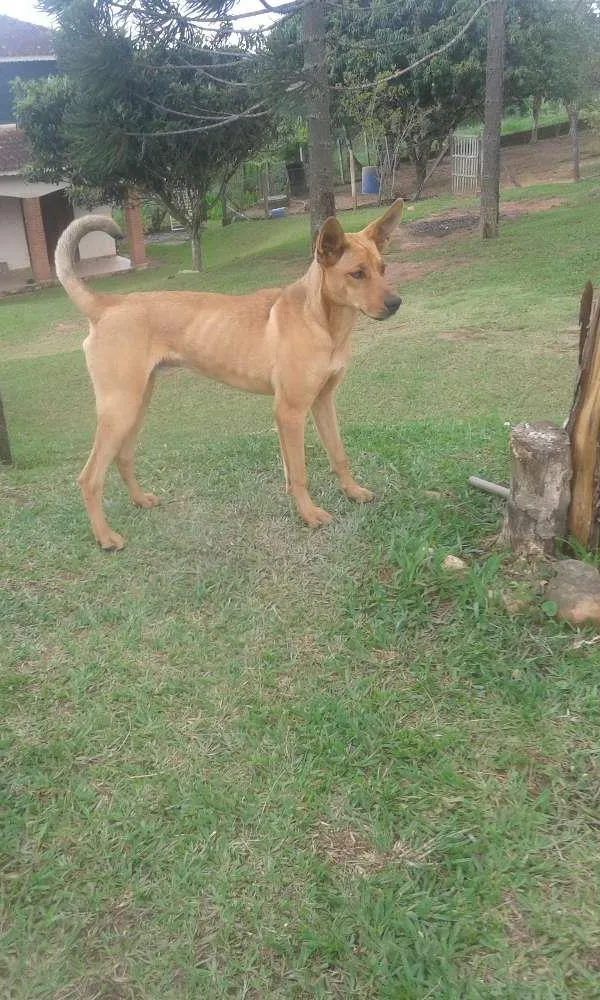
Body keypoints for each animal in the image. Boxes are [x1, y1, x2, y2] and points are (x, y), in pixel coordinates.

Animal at [55, 200, 404, 552]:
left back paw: (140, 500)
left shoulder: (323, 402)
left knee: (123, 458)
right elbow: (300, 473)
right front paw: (309, 514)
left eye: (383, 268)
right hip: (120, 409)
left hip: (137, 404)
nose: (396, 303)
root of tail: (106, 306)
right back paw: (105, 536)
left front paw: (352, 491)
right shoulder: (290, 411)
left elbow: (337, 454)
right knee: (90, 478)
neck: (320, 320)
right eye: (356, 274)